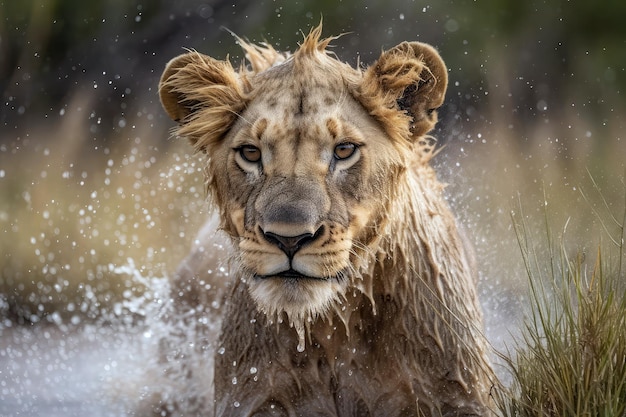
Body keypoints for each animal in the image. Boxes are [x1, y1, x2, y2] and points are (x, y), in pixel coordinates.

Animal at [157, 24, 498, 414]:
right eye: (251, 153)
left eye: (344, 150)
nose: (289, 238)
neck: (337, 328)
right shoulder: (254, 398)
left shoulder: (458, 394)